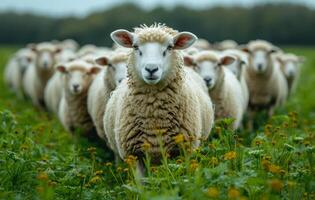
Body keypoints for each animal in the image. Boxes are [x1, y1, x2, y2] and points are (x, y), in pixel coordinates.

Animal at [103, 23, 215, 170]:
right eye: (135, 47)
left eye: (169, 47)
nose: (151, 69)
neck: (154, 113)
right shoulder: (133, 155)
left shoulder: (184, 151)